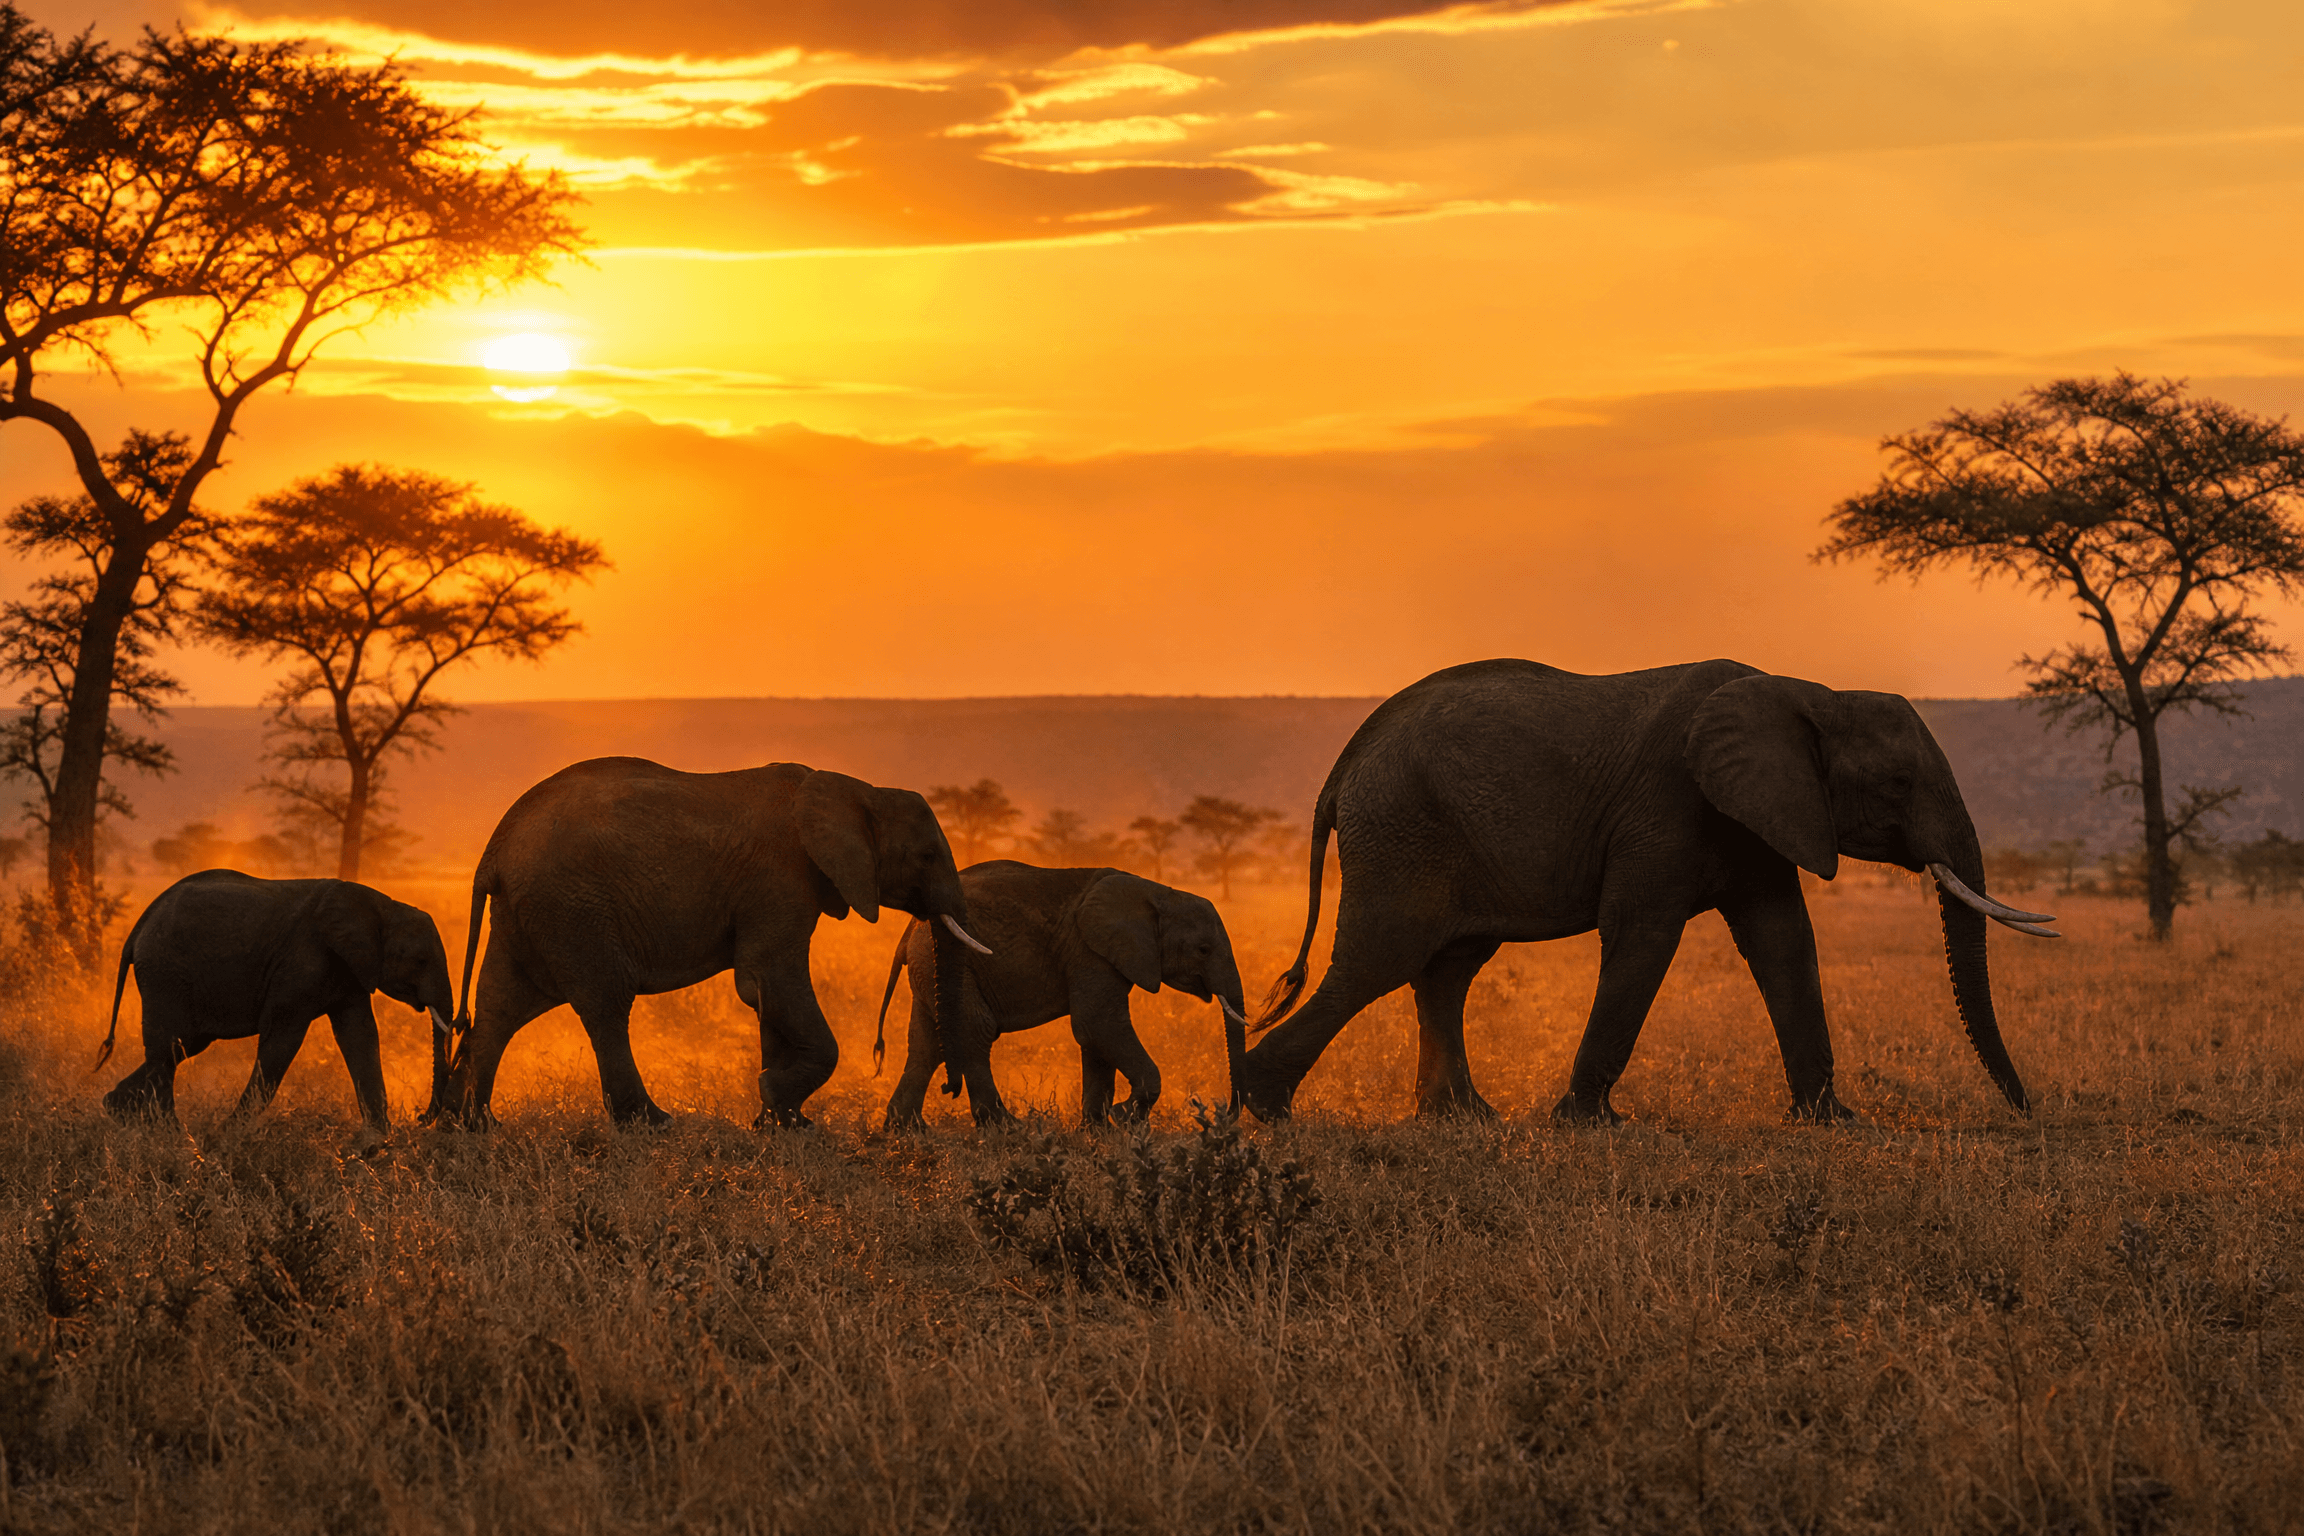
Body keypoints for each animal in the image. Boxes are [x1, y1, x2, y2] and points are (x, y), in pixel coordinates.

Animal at [95, 869, 455, 1140]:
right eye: (421, 961)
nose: (420, 1118)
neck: (383, 906)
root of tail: (139, 927)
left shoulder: (350, 969)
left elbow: (360, 1036)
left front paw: (375, 1145)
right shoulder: (302, 961)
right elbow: (283, 1040)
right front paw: (226, 1137)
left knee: (181, 1046)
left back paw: (119, 1112)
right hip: (165, 971)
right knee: (170, 1045)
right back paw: (174, 1136)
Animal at [429, 758, 988, 1131]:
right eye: (927, 855)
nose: (949, 1089)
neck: (857, 790)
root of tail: (493, 850)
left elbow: (767, 995)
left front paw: (783, 1121)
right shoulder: (779, 879)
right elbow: (766, 978)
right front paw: (774, 1098)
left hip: (528, 914)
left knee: (501, 1007)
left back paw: (467, 1125)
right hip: (573, 907)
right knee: (606, 1004)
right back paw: (653, 1123)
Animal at [873, 861, 1253, 1129]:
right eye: (1203, 950)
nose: (1220, 1115)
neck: (1158, 892)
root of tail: (910, 930)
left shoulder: (1102, 954)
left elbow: (1095, 1037)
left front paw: (1099, 1130)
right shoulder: (1089, 950)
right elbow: (1099, 1025)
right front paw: (1125, 1117)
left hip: (930, 965)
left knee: (929, 1044)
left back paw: (907, 1129)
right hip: (953, 959)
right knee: (975, 1031)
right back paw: (1007, 1128)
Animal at [1237, 658, 2059, 1125]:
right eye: (1897, 783)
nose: (2026, 1113)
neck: (1810, 691)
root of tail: (1345, 766)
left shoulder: (1761, 811)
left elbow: (1783, 939)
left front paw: (1832, 1121)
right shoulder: (1667, 804)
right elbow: (1643, 934)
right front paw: (1585, 1123)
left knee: (1447, 968)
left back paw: (1464, 1121)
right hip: (1401, 827)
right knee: (1380, 961)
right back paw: (1264, 1106)